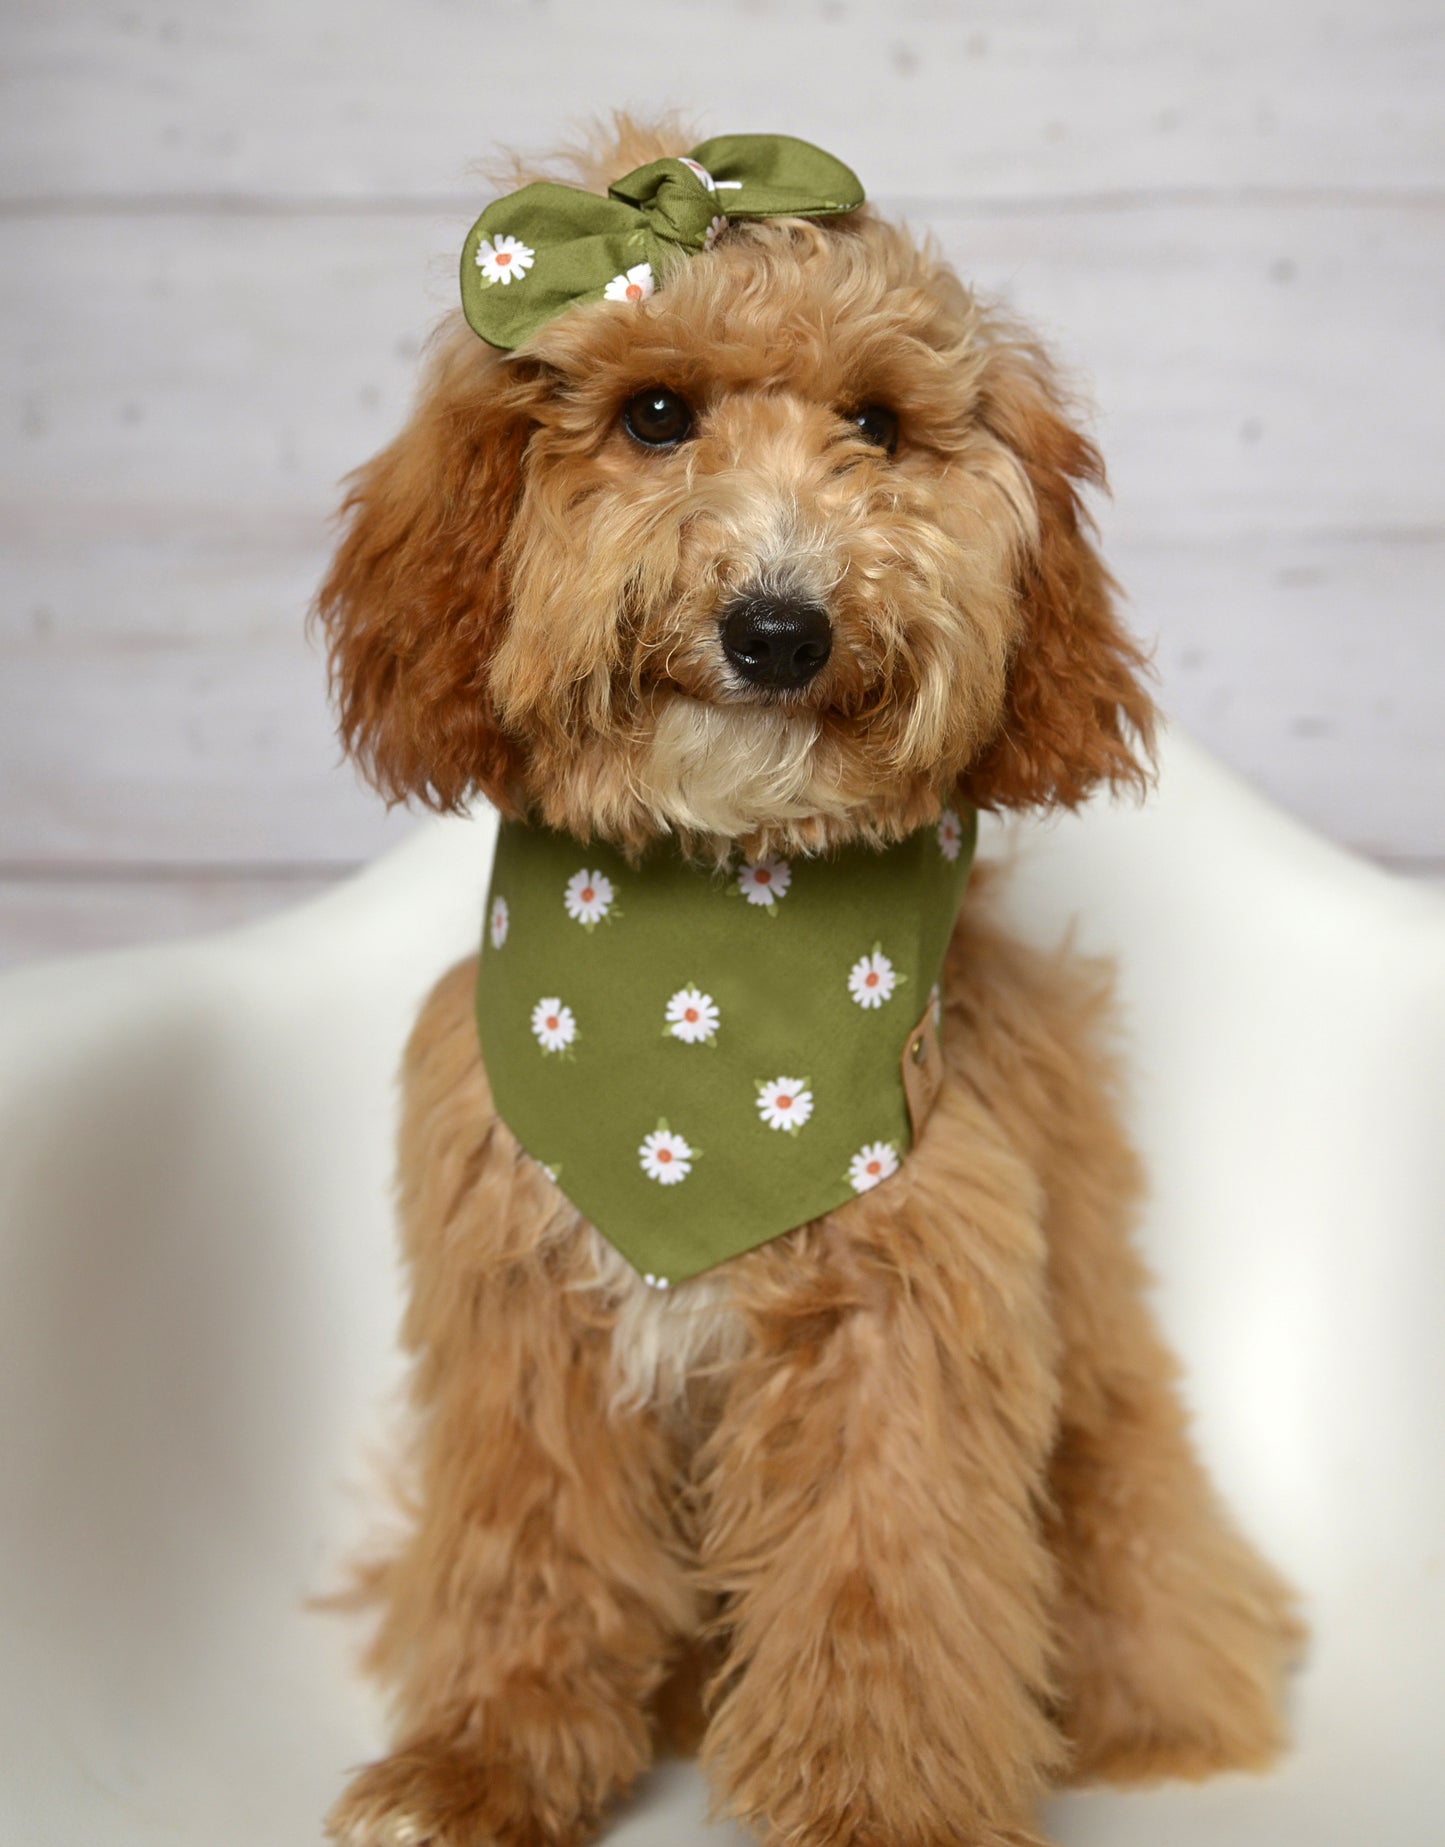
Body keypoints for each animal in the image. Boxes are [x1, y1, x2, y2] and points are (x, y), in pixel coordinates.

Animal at [314, 115, 1300, 1847]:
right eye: (654, 414)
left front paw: (879, 1808)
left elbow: (880, 1595)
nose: (779, 626)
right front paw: (480, 1761)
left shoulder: (899, 1308)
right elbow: (529, 1560)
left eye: (876, 426)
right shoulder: (524, 1306)